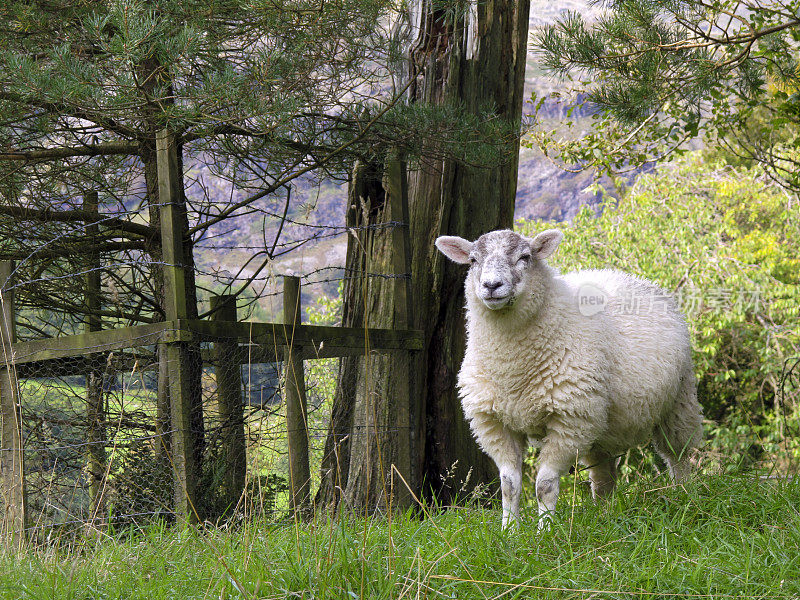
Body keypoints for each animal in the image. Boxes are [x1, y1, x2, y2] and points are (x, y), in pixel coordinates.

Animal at [434, 227, 704, 528]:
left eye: (525, 257)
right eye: (472, 260)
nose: (492, 285)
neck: (512, 370)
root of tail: (634, 278)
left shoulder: (569, 420)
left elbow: (545, 484)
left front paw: (545, 531)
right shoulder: (494, 423)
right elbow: (509, 484)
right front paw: (509, 531)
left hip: (678, 400)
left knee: (679, 454)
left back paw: (684, 495)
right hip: (601, 423)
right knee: (604, 475)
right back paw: (604, 514)